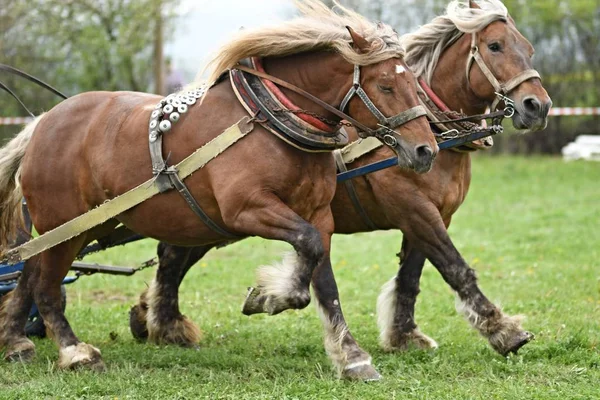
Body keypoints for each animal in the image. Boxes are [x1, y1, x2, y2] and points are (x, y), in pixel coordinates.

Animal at [0, 0, 436, 382]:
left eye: (414, 83)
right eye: (385, 85)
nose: (425, 150)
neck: (269, 121)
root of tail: (40, 124)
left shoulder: (318, 214)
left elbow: (324, 282)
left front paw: (351, 357)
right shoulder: (247, 209)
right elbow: (308, 251)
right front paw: (270, 296)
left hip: (81, 227)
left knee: (29, 275)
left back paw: (15, 341)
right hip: (63, 225)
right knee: (46, 286)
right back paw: (74, 351)